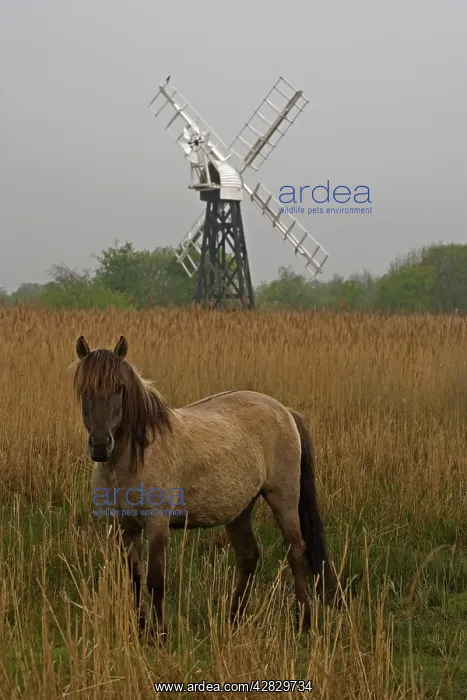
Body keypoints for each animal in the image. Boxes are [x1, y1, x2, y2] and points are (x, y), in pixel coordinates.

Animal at [73, 335, 336, 640]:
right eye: (83, 390)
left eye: (119, 388)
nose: (100, 445)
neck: (136, 455)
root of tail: (285, 411)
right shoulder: (125, 529)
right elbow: (135, 582)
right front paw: (141, 631)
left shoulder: (157, 525)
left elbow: (155, 581)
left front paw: (160, 635)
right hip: (240, 510)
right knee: (248, 556)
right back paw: (234, 619)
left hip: (284, 499)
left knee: (296, 552)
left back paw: (304, 621)